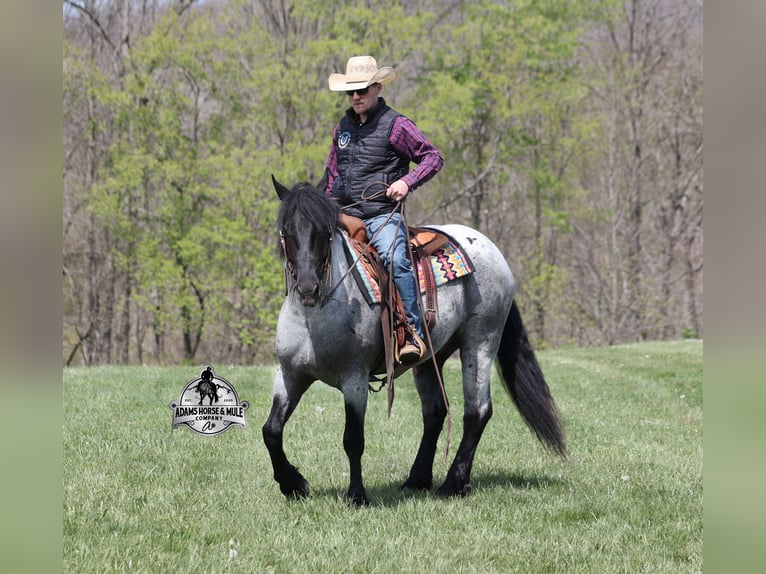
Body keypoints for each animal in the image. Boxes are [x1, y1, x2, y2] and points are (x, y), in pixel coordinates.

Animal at [262, 173, 566, 506]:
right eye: (286, 231)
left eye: (324, 232)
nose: (308, 287)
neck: (314, 319)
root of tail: (490, 247)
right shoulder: (290, 375)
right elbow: (271, 431)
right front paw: (294, 484)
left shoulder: (354, 380)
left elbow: (353, 439)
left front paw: (357, 495)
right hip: (432, 356)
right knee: (435, 413)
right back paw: (417, 480)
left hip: (481, 341)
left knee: (477, 411)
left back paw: (454, 483)